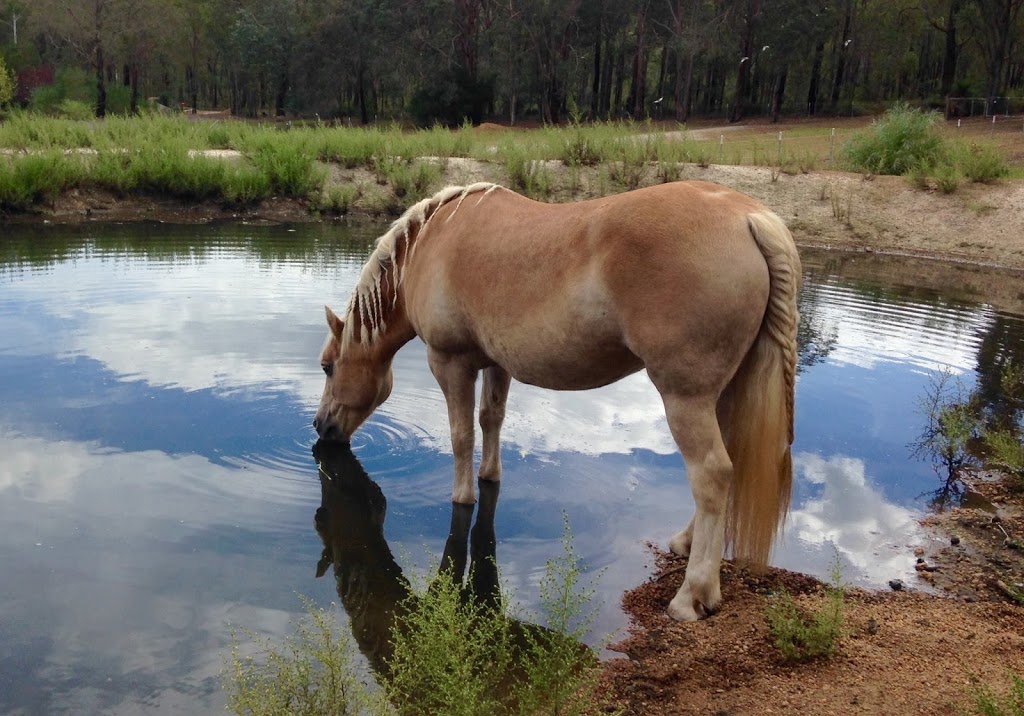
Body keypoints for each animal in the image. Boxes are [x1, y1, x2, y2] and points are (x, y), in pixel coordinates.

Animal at [311, 180, 798, 622]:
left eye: (327, 367)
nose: (321, 428)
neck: (431, 243)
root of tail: (748, 217)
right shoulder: (496, 363)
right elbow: (491, 419)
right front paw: (489, 476)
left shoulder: (450, 363)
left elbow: (460, 435)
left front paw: (462, 496)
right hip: (723, 394)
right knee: (727, 464)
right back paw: (686, 542)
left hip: (685, 398)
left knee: (711, 475)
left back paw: (692, 594)